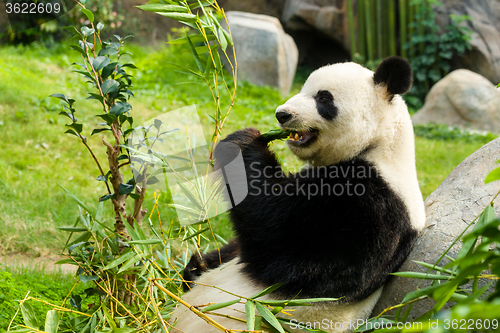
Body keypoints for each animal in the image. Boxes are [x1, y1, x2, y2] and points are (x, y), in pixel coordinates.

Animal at [171, 57, 426, 332]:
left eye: (323, 98)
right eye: (303, 88)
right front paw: (198, 264)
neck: (380, 145)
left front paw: (243, 142)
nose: (282, 114)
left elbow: (280, 242)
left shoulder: (373, 209)